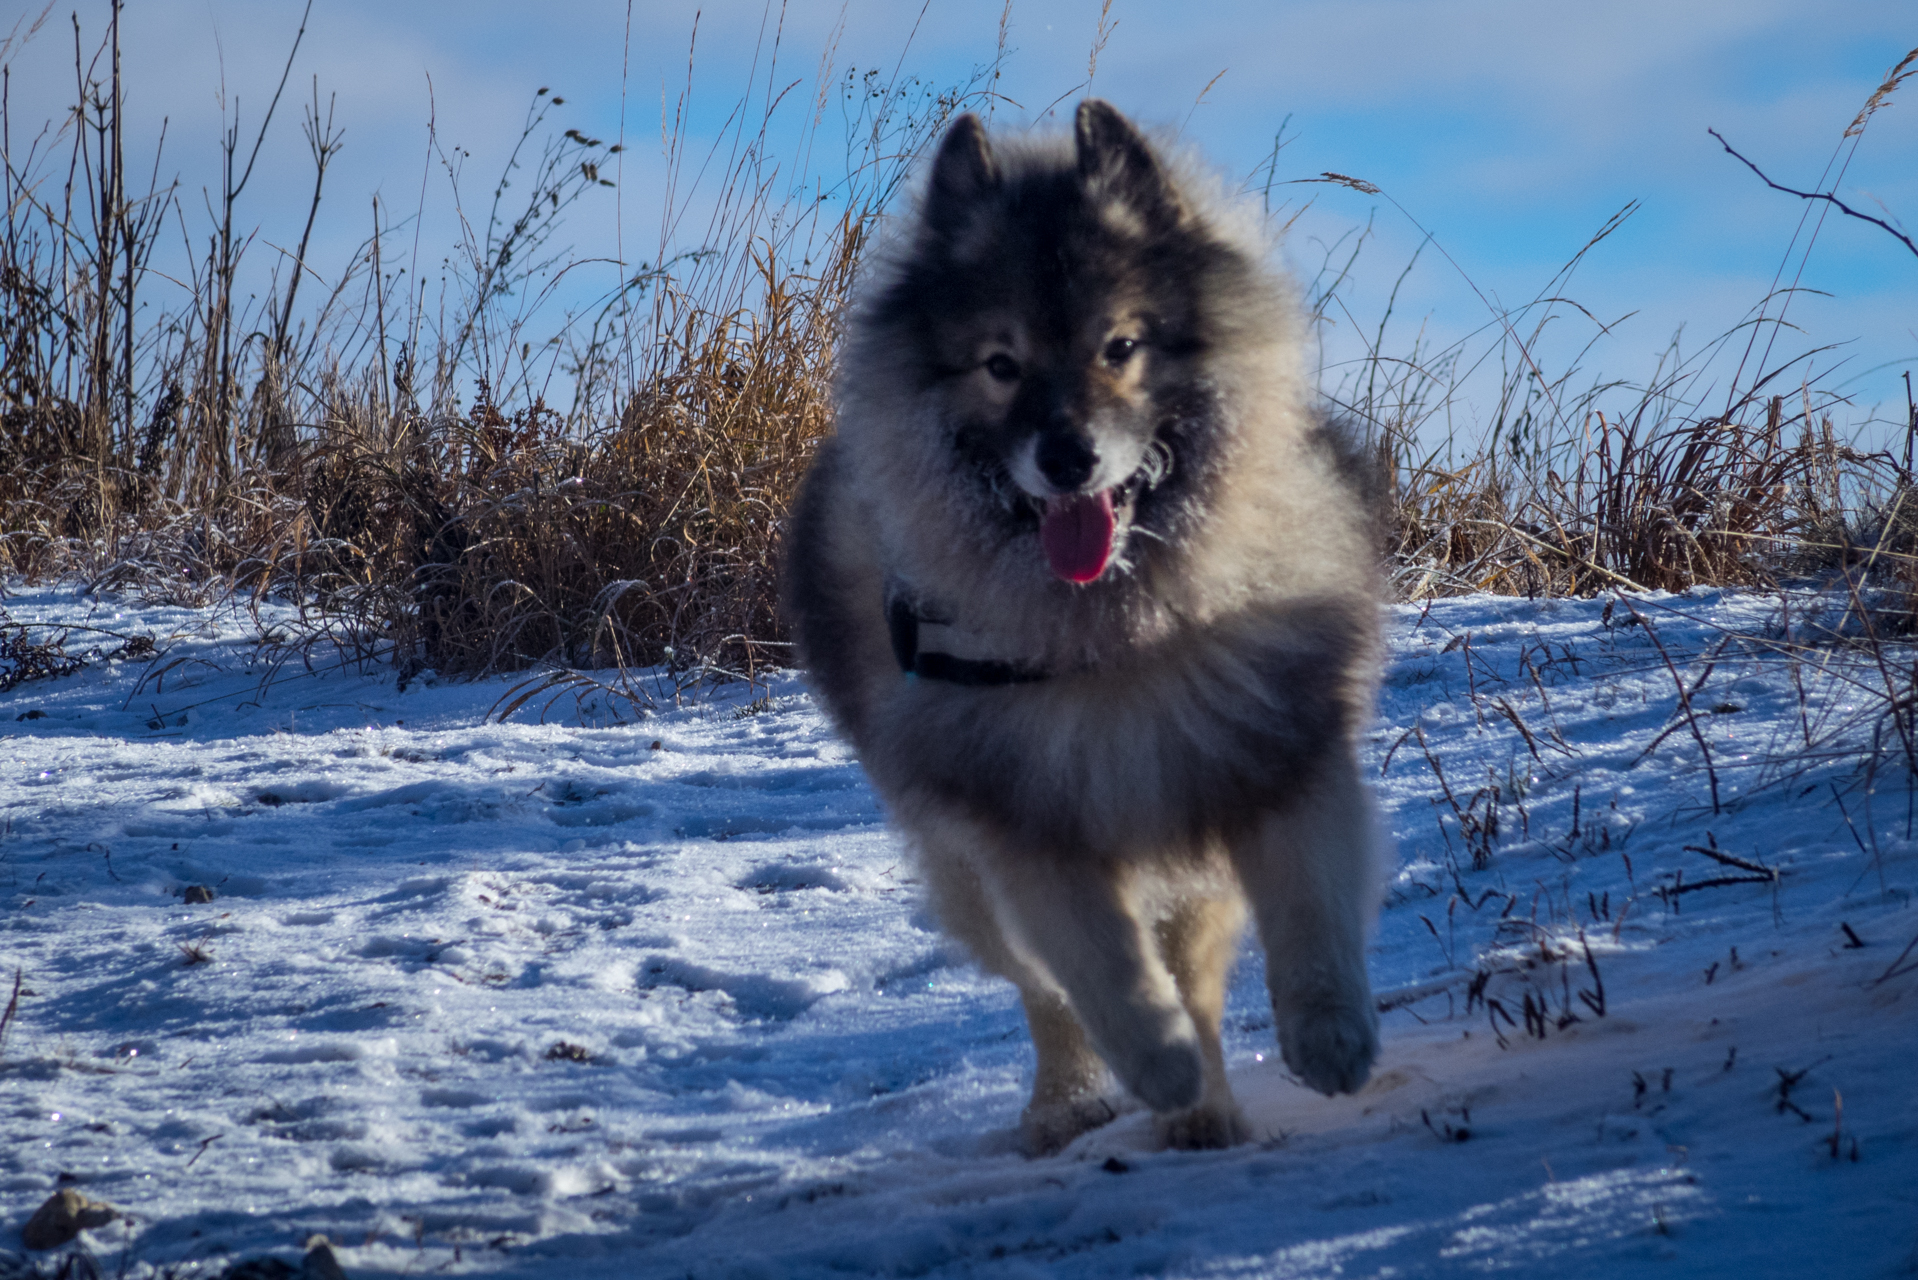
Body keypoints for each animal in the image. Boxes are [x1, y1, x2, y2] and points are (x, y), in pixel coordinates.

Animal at [786, 100, 1388, 1159]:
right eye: (1001, 365)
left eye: (1120, 347)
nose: (1067, 456)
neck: (1119, 632)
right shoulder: (1029, 834)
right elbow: (1103, 971)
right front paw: (1159, 1062)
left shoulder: (1280, 751)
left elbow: (1309, 908)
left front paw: (1330, 1038)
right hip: (965, 877)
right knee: (1048, 995)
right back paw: (1082, 1103)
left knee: (1194, 966)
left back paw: (1207, 1113)